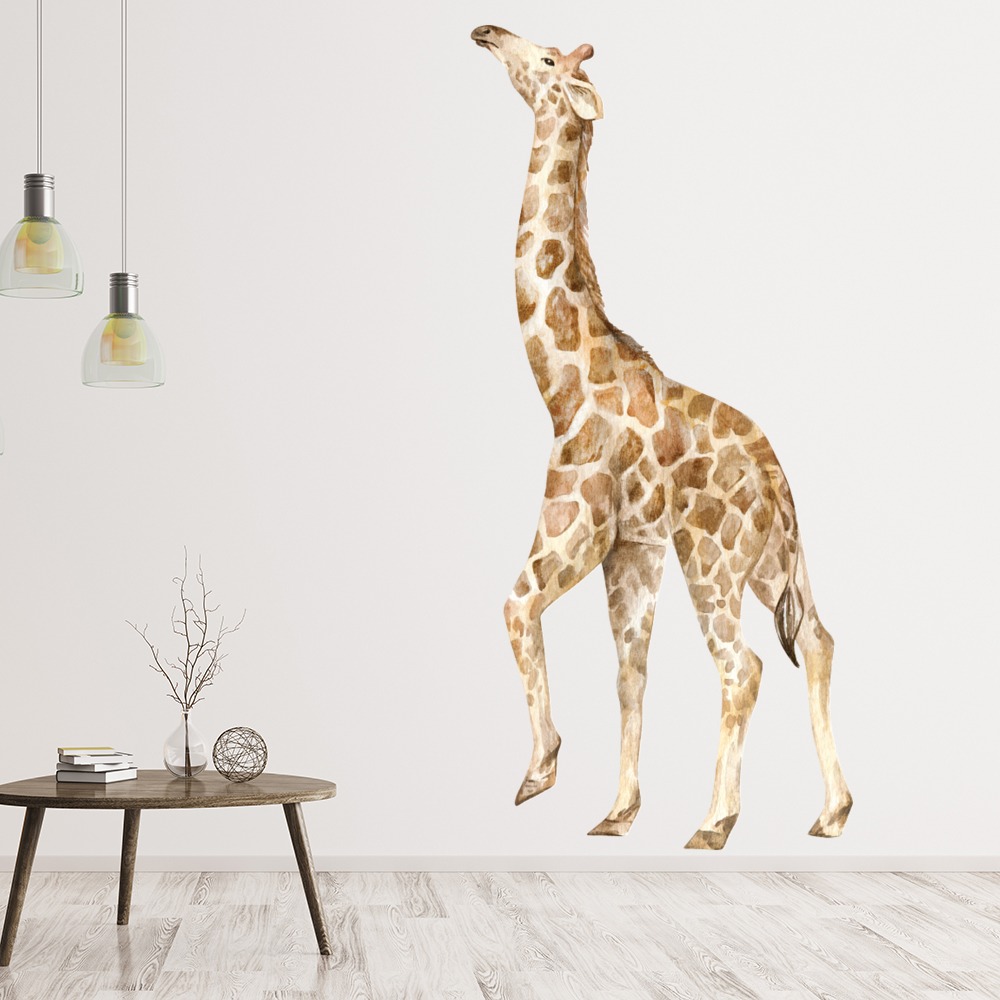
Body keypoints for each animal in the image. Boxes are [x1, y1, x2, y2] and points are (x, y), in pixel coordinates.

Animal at [471, 26, 853, 850]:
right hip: (772, 561)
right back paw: (832, 812)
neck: (561, 388)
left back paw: (715, 822)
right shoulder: (634, 551)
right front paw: (617, 811)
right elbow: (629, 672)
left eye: (543, 60)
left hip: (713, 558)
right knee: (817, 641)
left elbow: (515, 607)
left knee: (743, 666)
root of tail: (778, 481)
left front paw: (541, 770)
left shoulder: (574, 533)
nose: (486, 32)